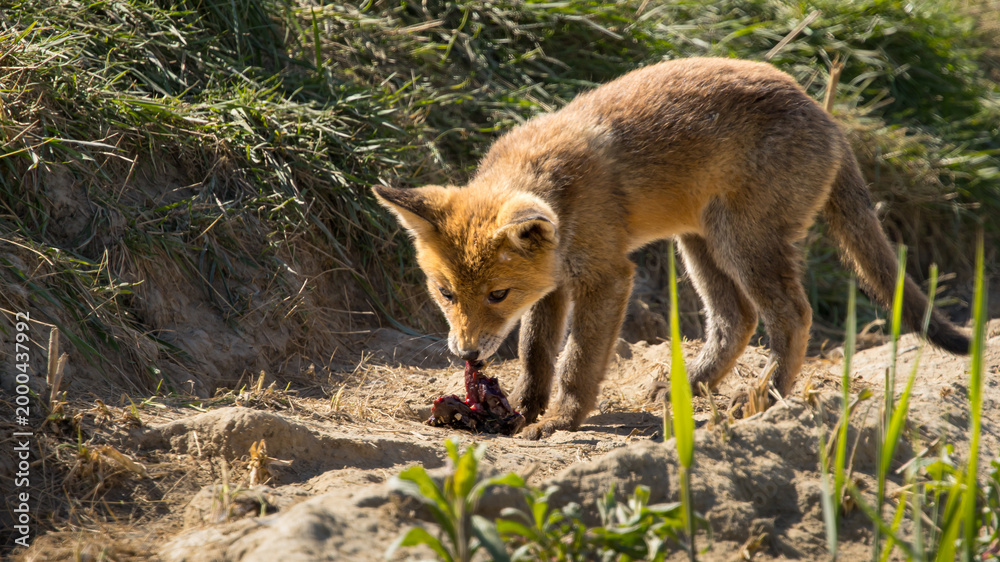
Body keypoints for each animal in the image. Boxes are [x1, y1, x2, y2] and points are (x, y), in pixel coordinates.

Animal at [374, 57, 970, 440]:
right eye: (446, 293)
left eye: (497, 295)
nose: (467, 355)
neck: (556, 186)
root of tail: (825, 114)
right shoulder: (555, 282)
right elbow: (536, 352)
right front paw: (520, 408)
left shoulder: (607, 276)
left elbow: (576, 361)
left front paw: (561, 419)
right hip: (700, 246)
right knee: (737, 321)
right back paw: (694, 387)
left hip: (740, 243)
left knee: (791, 316)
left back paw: (764, 399)